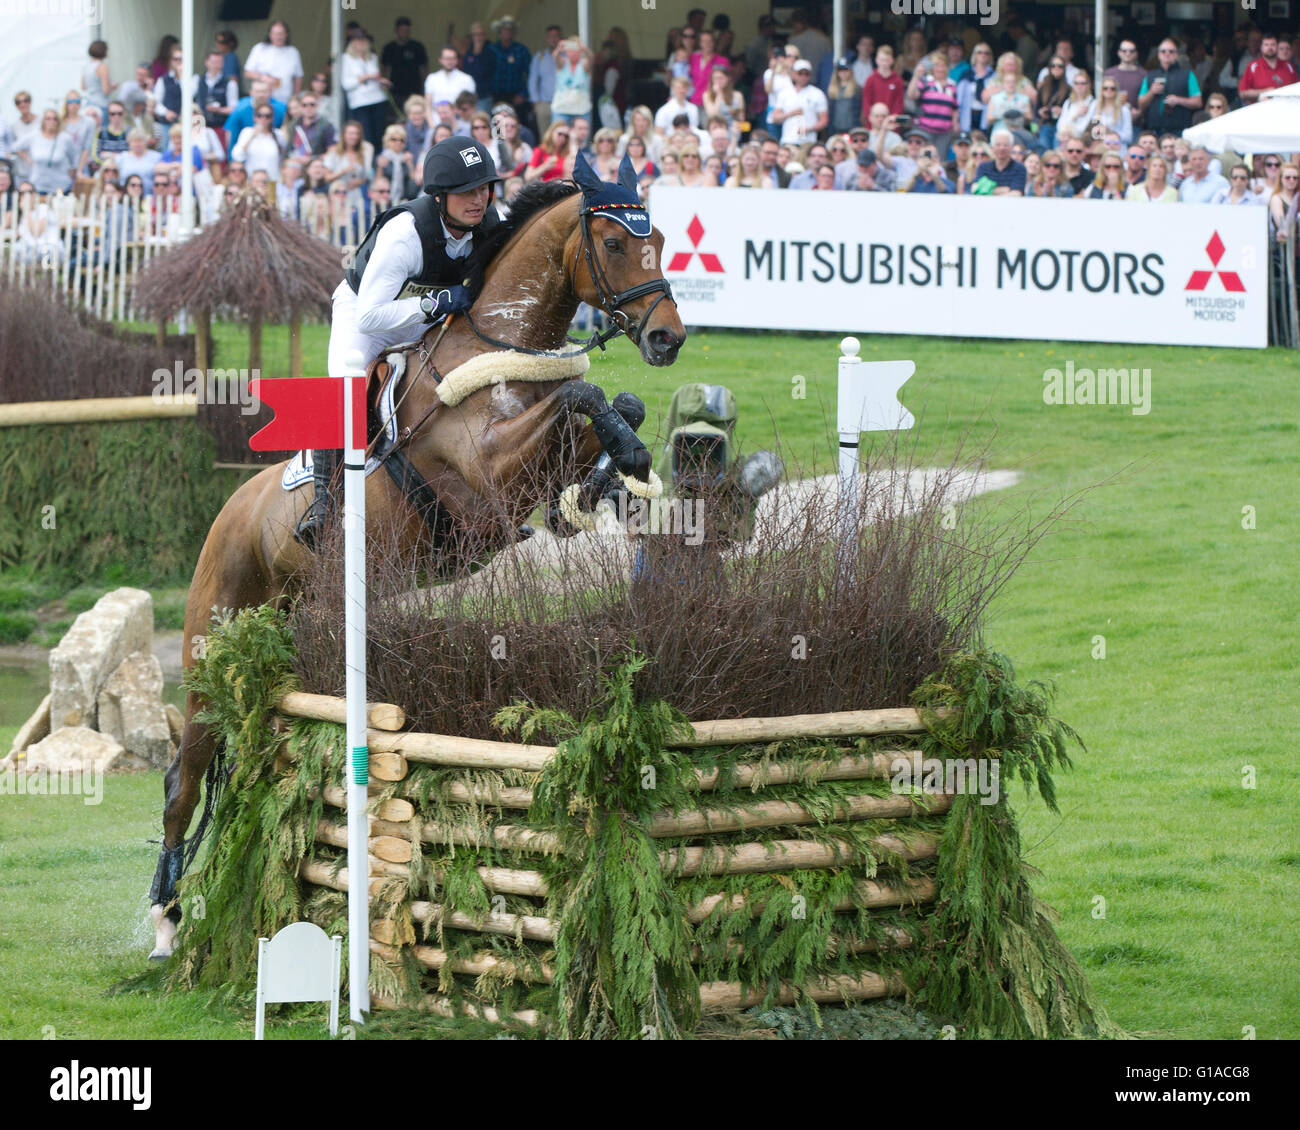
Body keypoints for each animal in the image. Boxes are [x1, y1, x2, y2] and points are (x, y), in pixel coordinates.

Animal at [147, 170, 686, 962]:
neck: (501, 344)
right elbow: (578, 391)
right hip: (208, 650)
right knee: (182, 778)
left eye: (661, 239)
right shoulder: (489, 473)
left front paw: (609, 480)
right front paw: (622, 461)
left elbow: (610, 404)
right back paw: (164, 921)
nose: (667, 336)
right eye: (615, 243)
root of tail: (229, 513)